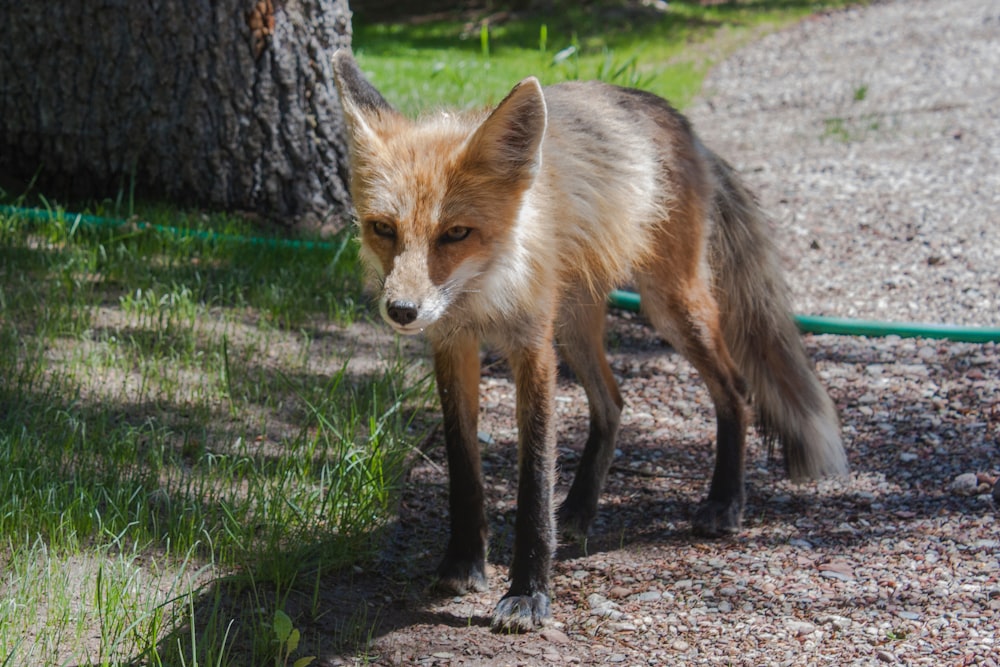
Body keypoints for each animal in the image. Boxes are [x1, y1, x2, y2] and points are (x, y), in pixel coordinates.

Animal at [332, 52, 848, 632]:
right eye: (383, 228)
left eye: (456, 233)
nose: (402, 311)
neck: (483, 295)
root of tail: (677, 120)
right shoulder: (452, 345)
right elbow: (464, 469)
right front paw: (464, 563)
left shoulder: (533, 348)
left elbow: (534, 477)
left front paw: (529, 593)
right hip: (576, 323)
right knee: (614, 403)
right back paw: (578, 510)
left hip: (667, 305)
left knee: (735, 390)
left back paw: (724, 502)